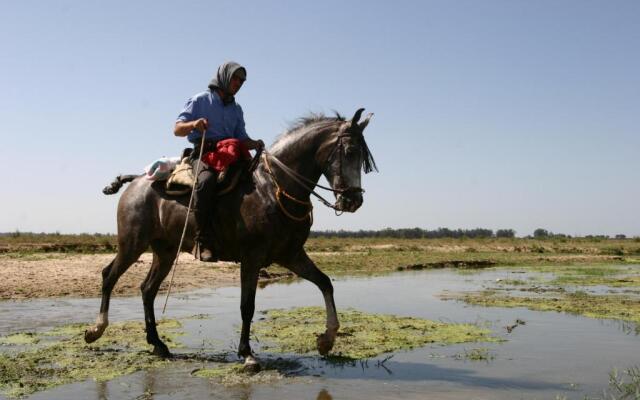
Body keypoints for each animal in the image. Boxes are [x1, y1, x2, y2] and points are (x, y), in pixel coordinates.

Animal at [84, 107, 376, 368]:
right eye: (350, 151)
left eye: (363, 157)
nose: (353, 201)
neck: (274, 188)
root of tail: (136, 181)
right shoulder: (252, 257)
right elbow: (247, 305)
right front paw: (247, 354)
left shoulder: (291, 255)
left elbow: (325, 283)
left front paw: (327, 339)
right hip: (132, 244)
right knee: (109, 276)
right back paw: (96, 330)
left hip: (165, 252)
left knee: (147, 290)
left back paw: (158, 344)